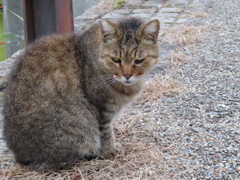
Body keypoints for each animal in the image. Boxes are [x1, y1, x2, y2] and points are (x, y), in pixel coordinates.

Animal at [2, 16, 160, 169]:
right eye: (116, 59)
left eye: (139, 60)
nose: (127, 75)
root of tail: (20, 156)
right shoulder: (101, 109)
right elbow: (106, 133)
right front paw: (110, 150)